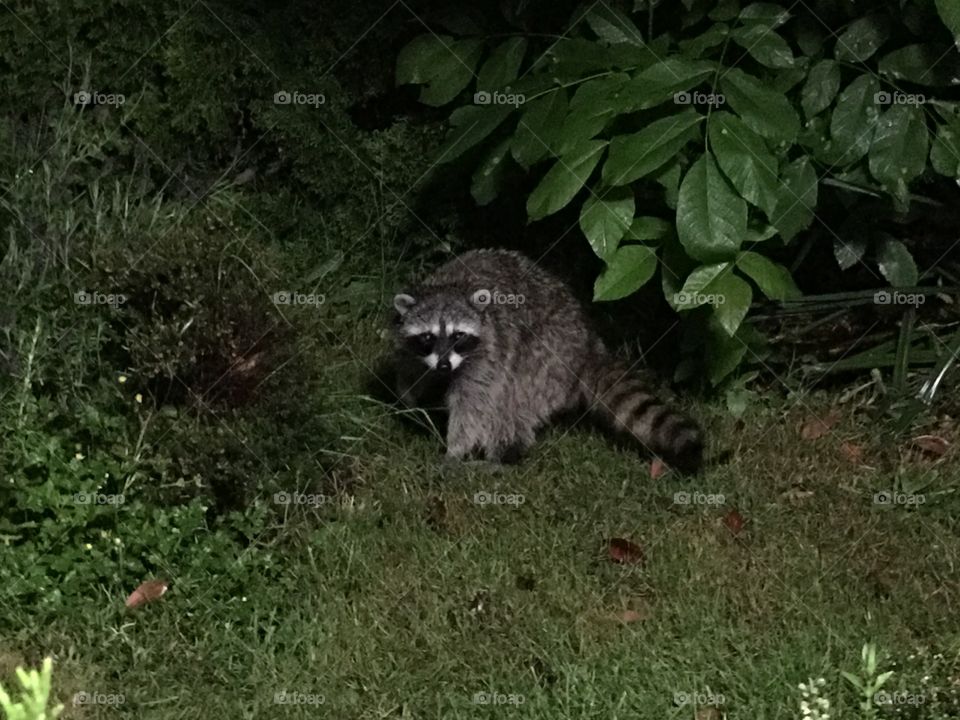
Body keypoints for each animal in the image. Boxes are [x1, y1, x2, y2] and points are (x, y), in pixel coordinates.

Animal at [392, 250, 704, 476]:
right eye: (428, 337)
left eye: (458, 336)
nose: (444, 367)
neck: (448, 287)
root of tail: (589, 343)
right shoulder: (410, 347)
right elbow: (409, 373)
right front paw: (410, 399)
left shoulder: (488, 351)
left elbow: (473, 404)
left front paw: (455, 449)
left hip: (548, 353)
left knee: (511, 400)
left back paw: (503, 456)